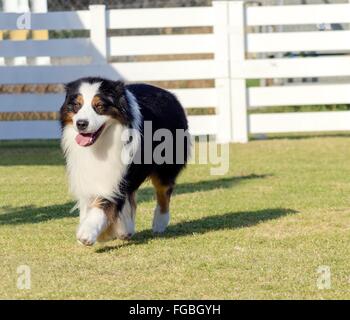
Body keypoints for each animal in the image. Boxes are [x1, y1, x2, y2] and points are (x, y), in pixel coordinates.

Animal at [60, 77, 191, 245]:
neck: (102, 143)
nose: (81, 123)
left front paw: (87, 233)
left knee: (163, 191)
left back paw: (159, 223)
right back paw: (126, 230)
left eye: (100, 106)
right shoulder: (87, 173)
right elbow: (90, 200)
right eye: (77, 105)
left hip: (165, 166)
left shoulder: (119, 175)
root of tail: (171, 95)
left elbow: (105, 202)